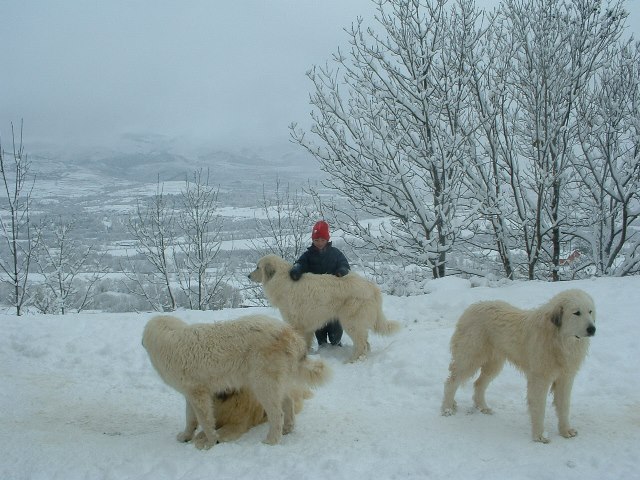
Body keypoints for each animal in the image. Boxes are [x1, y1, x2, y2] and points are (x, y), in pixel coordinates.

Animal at [141, 314, 330, 448]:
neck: (169, 339)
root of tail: (290, 333)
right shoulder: (191, 393)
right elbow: (190, 418)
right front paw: (186, 436)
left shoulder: (198, 394)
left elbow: (205, 420)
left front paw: (211, 440)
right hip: (276, 381)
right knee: (288, 402)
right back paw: (287, 429)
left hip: (263, 383)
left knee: (277, 413)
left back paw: (271, 440)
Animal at [249, 255, 400, 360]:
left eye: (257, 267)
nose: (248, 275)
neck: (282, 281)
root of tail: (371, 287)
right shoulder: (306, 326)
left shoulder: (297, 324)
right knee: (365, 343)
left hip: (351, 322)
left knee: (361, 344)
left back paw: (352, 361)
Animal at [440, 288, 596, 442]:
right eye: (577, 312)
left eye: (590, 311)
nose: (592, 329)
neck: (559, 340)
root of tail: (471, 308)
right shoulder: (540, 378)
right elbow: (539, 407)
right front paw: (539, 435)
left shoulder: (565, 378)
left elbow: (564, 406)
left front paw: (565, 431)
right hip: (469, 358)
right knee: (451, 382)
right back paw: (447, 408)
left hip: (493, 364)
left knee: (479, 384)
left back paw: (482, 407)